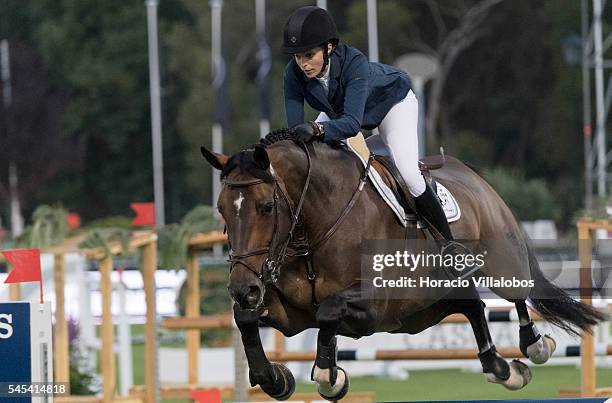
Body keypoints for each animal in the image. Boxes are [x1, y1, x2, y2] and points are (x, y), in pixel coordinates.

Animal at [202, 131, 608, 402]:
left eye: (266, 207)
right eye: (221, 210)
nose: (243, 288)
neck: (316, 224)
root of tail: (473, 175)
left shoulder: (372, 307)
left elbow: (329, 312)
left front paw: (330, 377)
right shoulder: (292, 314)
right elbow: (247, 318)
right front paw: (275, 378)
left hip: (499, 266)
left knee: (517, 295)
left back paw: (534, 345)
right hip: (425, 309)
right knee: (473, 306)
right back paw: (502, 367)